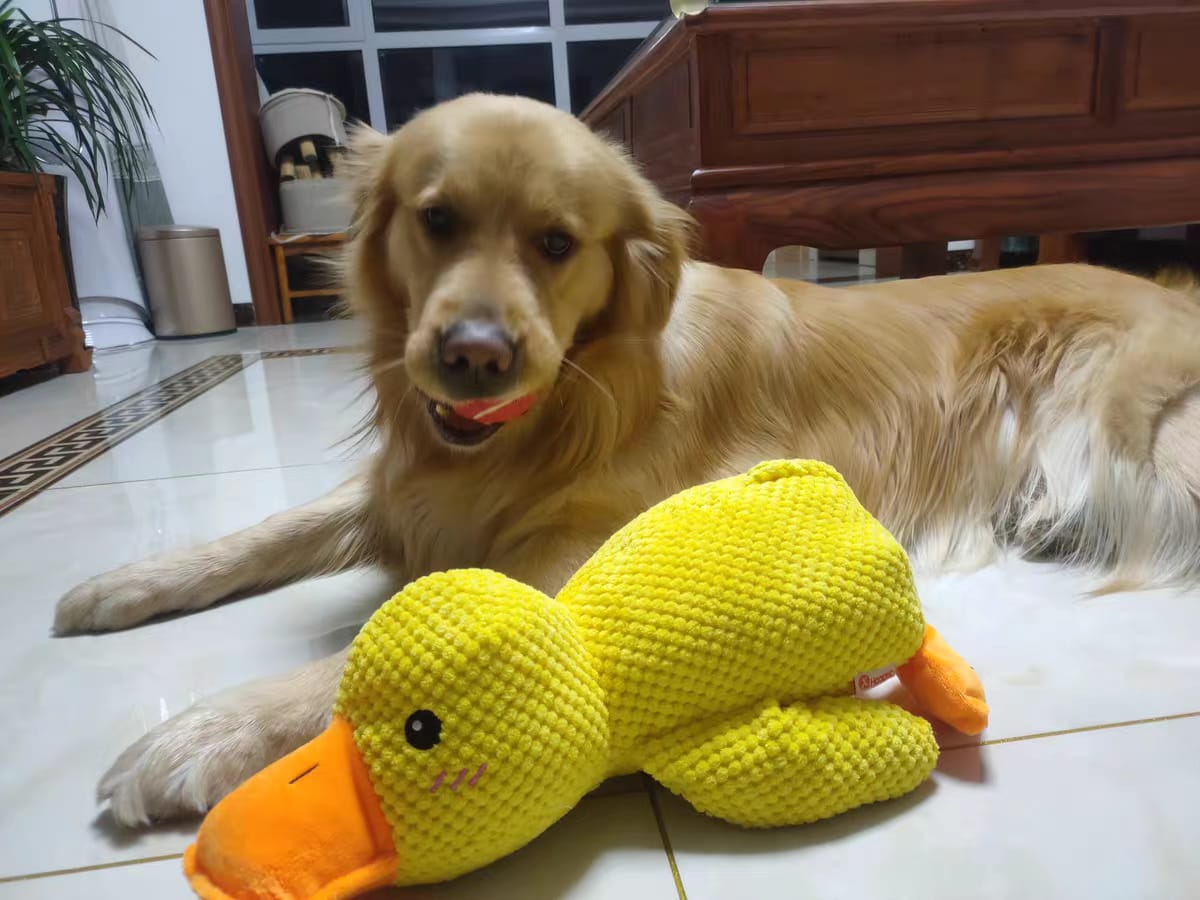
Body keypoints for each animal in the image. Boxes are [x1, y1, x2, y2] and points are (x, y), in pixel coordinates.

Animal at [51, 95, 1200, 830]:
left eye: (558, 243)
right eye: (436, 220)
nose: (474, 355)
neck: (568, 402)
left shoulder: (576, 552)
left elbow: (388, 652)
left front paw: (200, 737)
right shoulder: (406, 487)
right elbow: (267, 531)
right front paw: (123, 584)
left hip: (1148, 443)